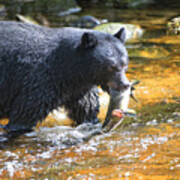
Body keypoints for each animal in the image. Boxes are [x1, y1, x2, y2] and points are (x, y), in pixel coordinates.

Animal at [0, 21, 129, 134]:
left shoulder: (78, 89)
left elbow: (87, 108)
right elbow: (25, 113)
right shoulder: (40, 80)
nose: (125, 84)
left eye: (124, 64)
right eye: (111, 66)